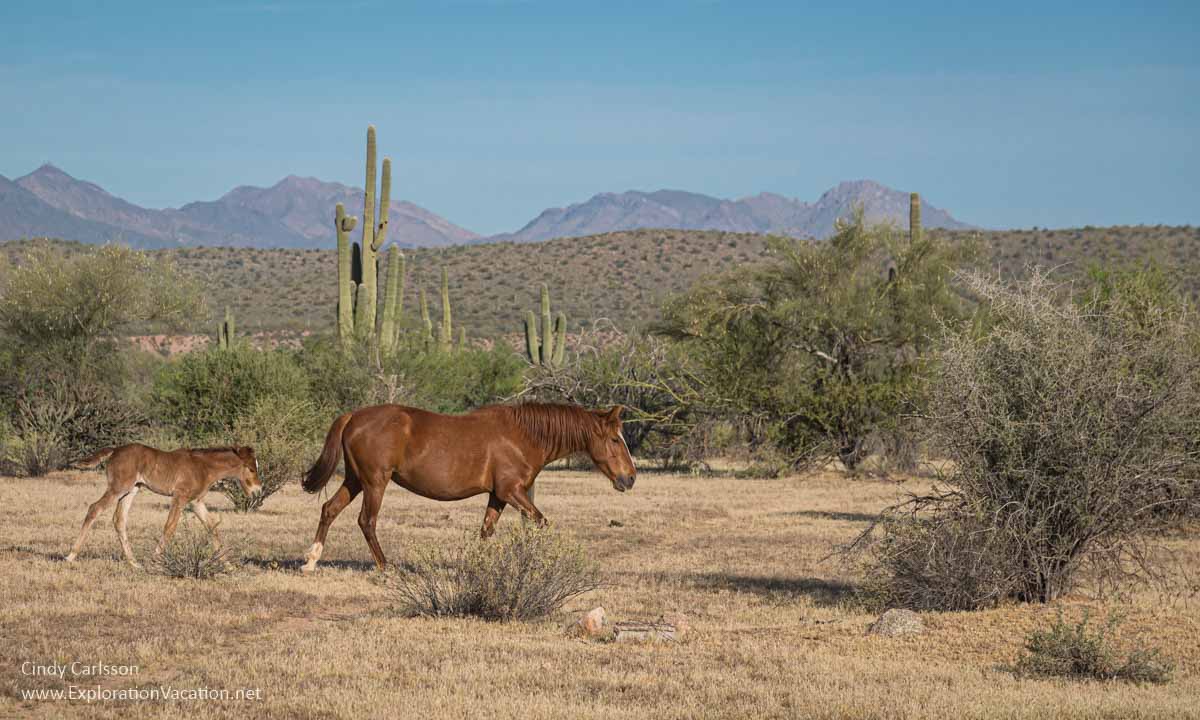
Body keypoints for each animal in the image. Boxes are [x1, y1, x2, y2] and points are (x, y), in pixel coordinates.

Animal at [68, 444, 260, 568]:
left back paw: (134, 563)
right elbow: (170, 527)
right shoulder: (180, 497)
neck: (203, 466)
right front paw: (155, 561)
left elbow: (212, 527)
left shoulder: (195, 502)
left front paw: (228, 564)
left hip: (132, 489)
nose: (257, 491)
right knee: (94, 508)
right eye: (251, 469)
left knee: (119, 520)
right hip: (118, 488)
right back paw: (71, 556)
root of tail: (114, 451)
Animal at [300, 403, 638, 571]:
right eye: (614, 439)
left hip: (355, 480)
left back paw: (311, 561)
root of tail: (353, 416)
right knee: (366, 521)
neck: (523, 435)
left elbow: (486, 531)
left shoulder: (498, 496)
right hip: (374, 483)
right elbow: (540, 522)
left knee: (329, 509)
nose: (630, 478)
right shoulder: (511, 492)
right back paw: (386, 567)